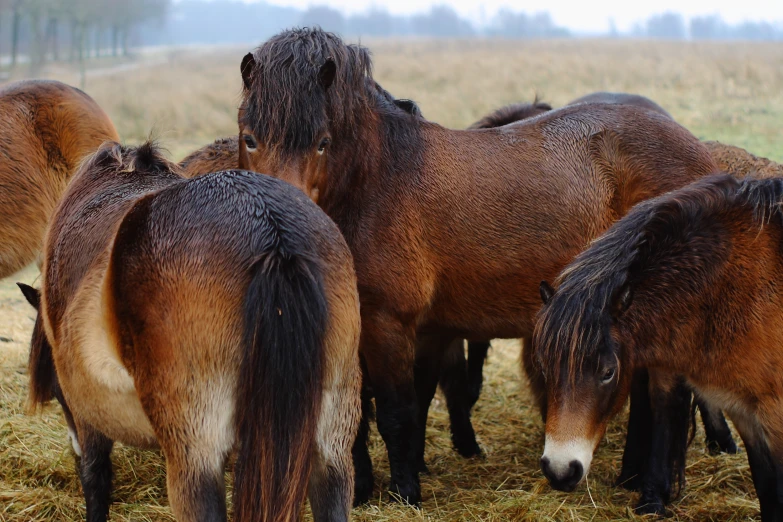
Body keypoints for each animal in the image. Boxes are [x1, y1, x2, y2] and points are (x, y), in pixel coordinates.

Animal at [28, 139, 362, 520]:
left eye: (55, 390)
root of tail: (272, 232)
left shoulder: (87, 416)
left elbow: (95, 480)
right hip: (332, 448)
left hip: (196, 457)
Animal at [234, 28, 728, 504]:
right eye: (250, 138)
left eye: (322, 143)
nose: (284, 216)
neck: (378, 183)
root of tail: (701, 154)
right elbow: (353, 417)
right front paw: (363, 490)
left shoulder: (388, 324)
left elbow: (396, 413)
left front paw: (405, 493)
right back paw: (631, 477)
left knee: (664, 401)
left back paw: (652, 493)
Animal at [536, 175, 783, 520]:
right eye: (544, 367)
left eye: (608, 372)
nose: (560, 471)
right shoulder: (744, 413)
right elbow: (767, 490)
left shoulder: (774, 413)